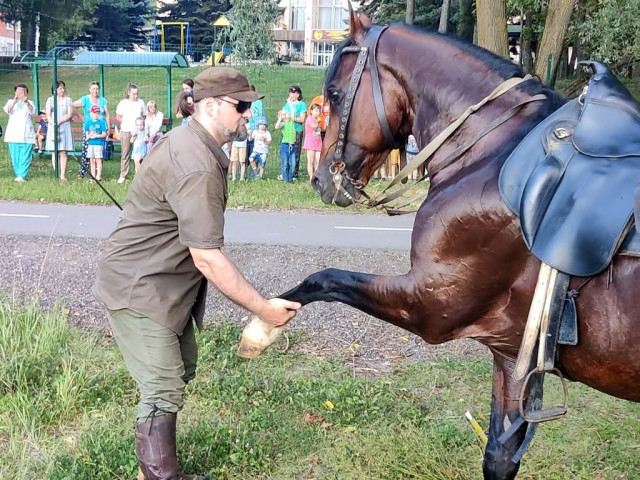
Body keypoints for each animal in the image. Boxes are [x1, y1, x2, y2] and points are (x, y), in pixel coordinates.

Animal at [282, 8, 640, 480]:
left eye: (335, 94)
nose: (321, 179)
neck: (489, 153)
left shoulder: (430, 306)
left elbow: (321, 280)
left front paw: (261, 325)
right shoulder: (512, 356)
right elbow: (499, 457)